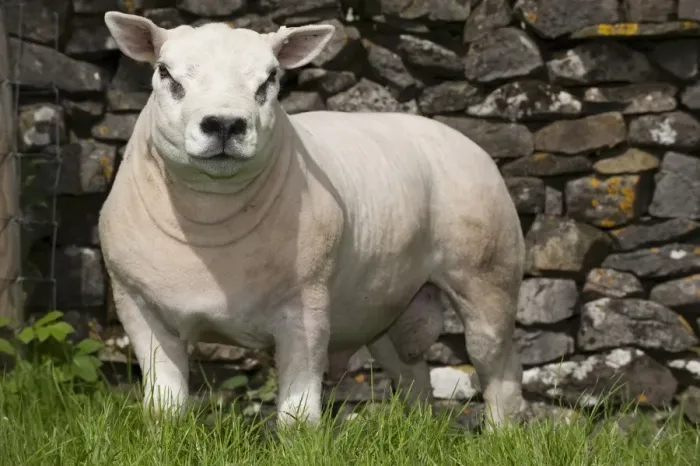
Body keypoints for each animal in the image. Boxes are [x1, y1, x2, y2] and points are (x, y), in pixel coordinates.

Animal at [100, 11, 526, 430]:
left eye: (270, 78)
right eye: (165, 73)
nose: (224, 124)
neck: (210, 225)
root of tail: (457, 135)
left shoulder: (306, 309)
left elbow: (299, 417)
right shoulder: (138, 307)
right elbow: (164, 407)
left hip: (488, 276)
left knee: (498, 371)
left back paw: (499, 434)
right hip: (388, 309)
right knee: (412, 377)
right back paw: (419, 431)